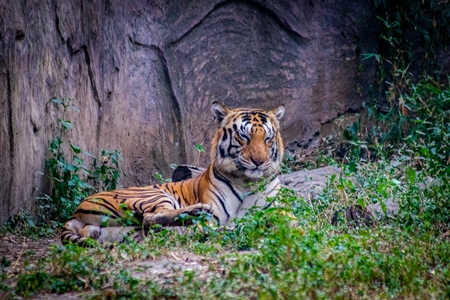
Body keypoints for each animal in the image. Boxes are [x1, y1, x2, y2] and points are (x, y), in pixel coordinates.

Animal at [60, 102, 284, 245]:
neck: (247, 181)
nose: (259, 162)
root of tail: (76, 212)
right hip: (151, 195)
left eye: (267, 138)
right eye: (243, 136)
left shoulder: (276, 208)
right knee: (151, 217)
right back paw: (195, 213)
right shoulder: (215, 217)